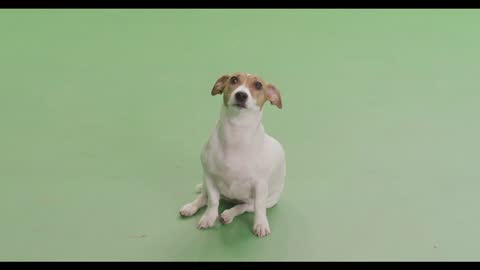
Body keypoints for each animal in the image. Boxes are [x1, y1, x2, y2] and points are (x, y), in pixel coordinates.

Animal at [179, 72, 284, 238]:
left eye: (258, 85)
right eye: (234, 80)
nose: (241, 95)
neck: (236, 132)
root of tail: (231, 199)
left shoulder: (260, 186)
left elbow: (259, 208)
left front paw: (260, 224)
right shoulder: (210, 177)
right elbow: (213, 202)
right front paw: (209, 217)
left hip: (269, 199)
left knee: (245, 206)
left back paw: (228, 214)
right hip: (206, 181)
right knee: (204, 197)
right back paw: (191, 207)